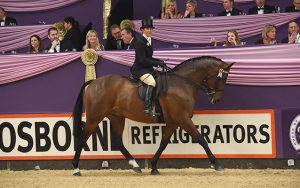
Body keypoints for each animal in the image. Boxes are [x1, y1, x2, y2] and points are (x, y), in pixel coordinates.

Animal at [71, 55, 233, 176]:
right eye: (222, 78)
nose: (216, 99)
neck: (182, 84)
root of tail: (93, 82)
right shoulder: (183, 119)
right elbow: (201, 139)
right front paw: (217, 164)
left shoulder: (174, 122)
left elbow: (163, 143)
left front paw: (154, 167)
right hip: (94, 118)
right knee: (82, 140)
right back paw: (76, 169)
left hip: (117, 117)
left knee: (118, 142)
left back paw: (135, 165)